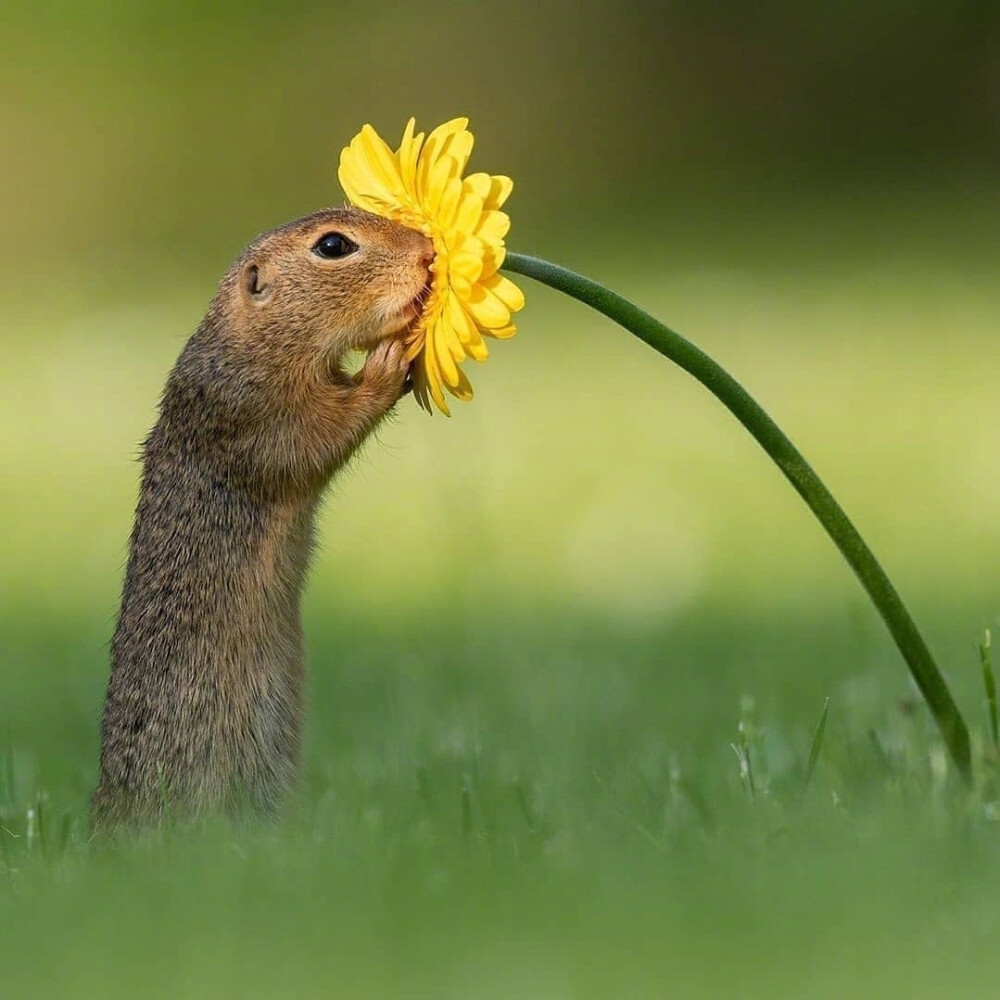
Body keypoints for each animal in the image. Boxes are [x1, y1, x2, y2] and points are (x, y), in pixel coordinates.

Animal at [94, 207, 434, 832]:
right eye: (333, 246)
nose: (427, 252)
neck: (251, 340)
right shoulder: (257, 413)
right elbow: (321, 433)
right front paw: (388, 360)